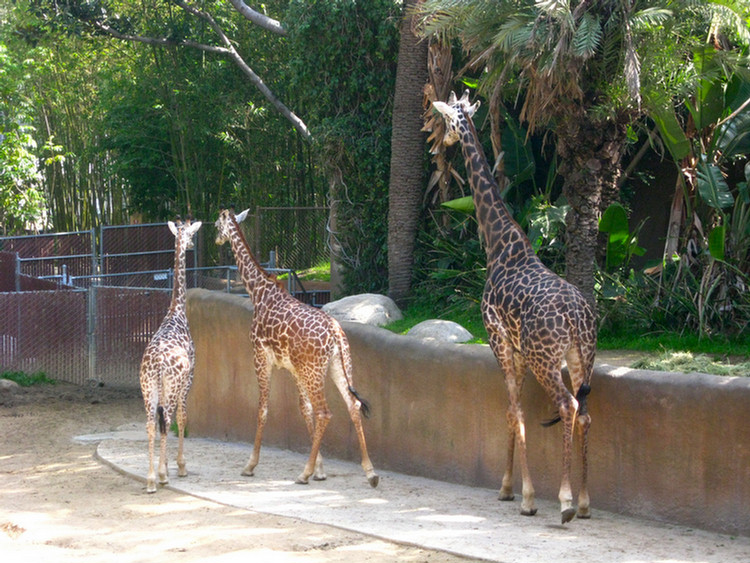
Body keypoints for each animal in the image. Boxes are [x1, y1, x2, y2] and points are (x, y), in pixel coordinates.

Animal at [216, 207, 382, 490]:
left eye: (217, 225)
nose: (216, 240)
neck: (257, 292)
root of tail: (336, 335)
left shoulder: (260, 357)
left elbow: (263, 409)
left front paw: (250, 465)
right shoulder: (293, 368)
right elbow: (304, 410)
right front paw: (320, 470)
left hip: (314, 371)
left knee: (326, 412)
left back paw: (303, 474)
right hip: (338, 366)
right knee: (353, 405)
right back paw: (370, 473)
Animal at [434, 89, 600, 524]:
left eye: (445, 121)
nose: (441, 144)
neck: (499, 244)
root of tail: (576, 318)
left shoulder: (499, 340)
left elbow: (514, 412)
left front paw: (523, 495)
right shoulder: (519, 350)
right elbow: (515, 412)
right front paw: (509, 488)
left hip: (547, 360)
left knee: (567, 405)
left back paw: (564, 502)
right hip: (581, 357)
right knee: (584, 411)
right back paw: (585, 503)